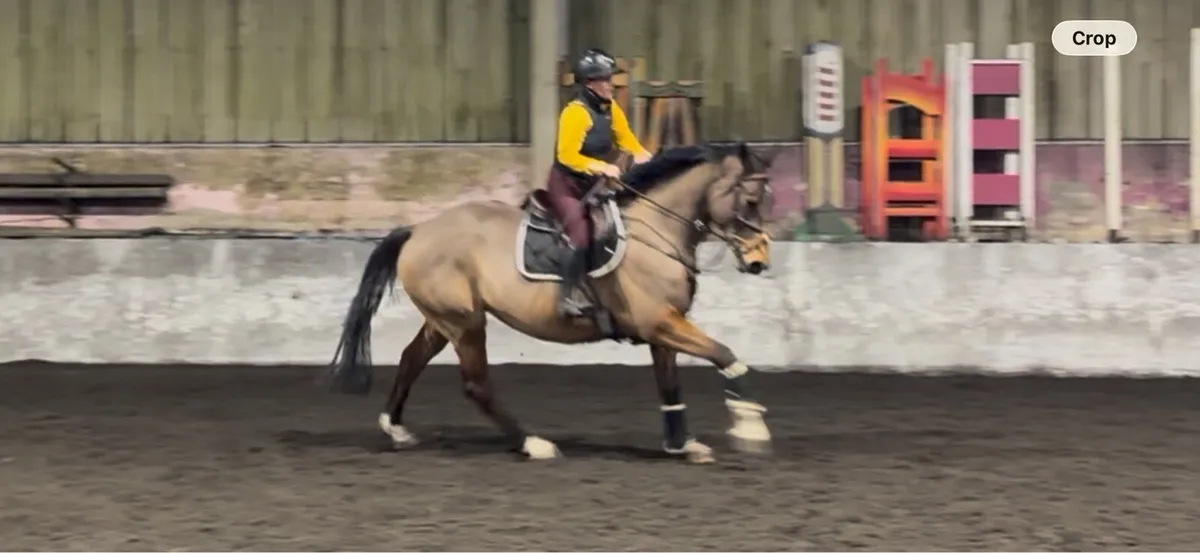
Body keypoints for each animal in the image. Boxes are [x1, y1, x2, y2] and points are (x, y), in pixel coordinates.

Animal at [330, 142, 776, 464]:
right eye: (751, 200)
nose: (759, 261)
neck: (656, 233)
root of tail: (418, 230)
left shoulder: (664, 328)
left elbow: (670, 385)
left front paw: (682, 444)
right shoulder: (658, 322)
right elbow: (725, 354)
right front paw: (751, 427)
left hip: (444, 321)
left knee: (411, 359)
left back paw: (396, 429)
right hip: (466, 324)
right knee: (477, 385)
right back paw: (533, 444)